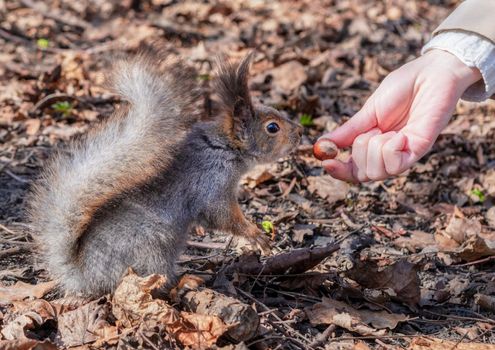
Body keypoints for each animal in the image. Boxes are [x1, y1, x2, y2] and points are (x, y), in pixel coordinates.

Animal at [29, 52, 302, 296]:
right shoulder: (211, 185)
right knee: (156, 284)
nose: (300, 133)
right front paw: (255, 234)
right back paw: (186, 282)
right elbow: (222, 217)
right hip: (152, 250)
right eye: (272, 128)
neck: (224, 148)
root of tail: (84, 277)